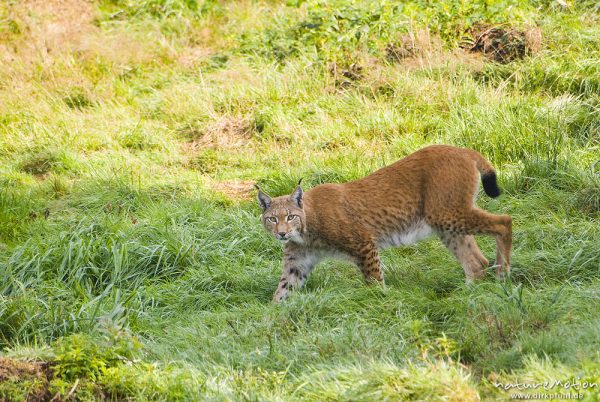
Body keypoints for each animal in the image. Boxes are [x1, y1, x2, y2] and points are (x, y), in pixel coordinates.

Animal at [255, 144, 512, 302]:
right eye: (272, 219)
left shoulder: (363, 243)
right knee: (477, 262)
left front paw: (380, 302)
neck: (304, 231)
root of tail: (461, 149)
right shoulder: (297, 264)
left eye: (290, 216)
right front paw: (269, 322)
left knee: (504, 221)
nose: (281, 234)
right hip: (445, 222)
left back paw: (502, 274)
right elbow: (282, 291)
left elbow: (374, 279)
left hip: (446, 214)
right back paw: (467, 295)